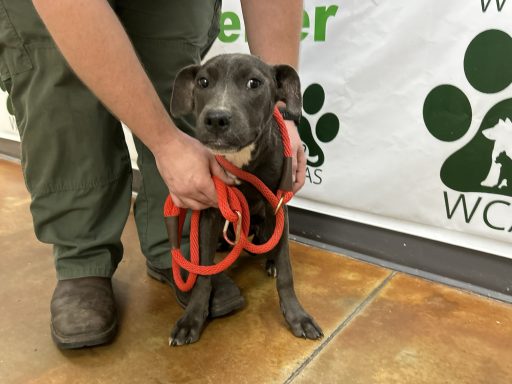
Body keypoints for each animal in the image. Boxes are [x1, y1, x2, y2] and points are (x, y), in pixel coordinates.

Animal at [169, 53, 324, 344]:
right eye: (203, 82)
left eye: (254, 83)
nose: (216, 118)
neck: (241, 160)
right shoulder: (211, 212)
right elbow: (202, 274)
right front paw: (191, 319)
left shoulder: (277, 205)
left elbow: (286, 270)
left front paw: (297, 317)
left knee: (273, 242)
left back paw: (270, 260)